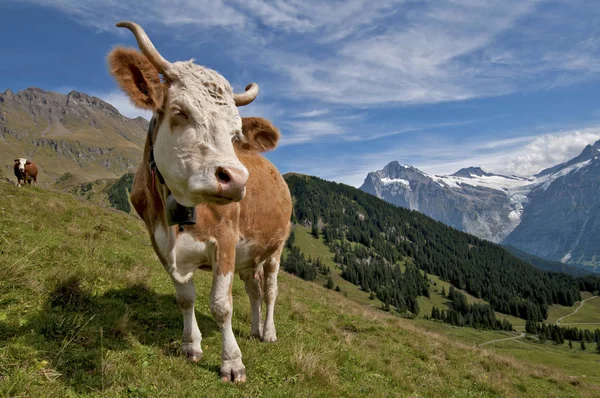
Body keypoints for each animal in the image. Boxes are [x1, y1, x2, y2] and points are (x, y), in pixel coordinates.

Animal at [108, 21, 296, 382]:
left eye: (236, 134)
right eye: (180, 112)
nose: (235, 179)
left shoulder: (225, 241)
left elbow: (221, 305)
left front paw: (232, 363)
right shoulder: (160, 243)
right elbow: (185, 298)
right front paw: (191, 346)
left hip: (275, 248)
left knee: (270, 290)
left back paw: (268, 332)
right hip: (249, 256)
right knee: (253, 290)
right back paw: (253, 330)